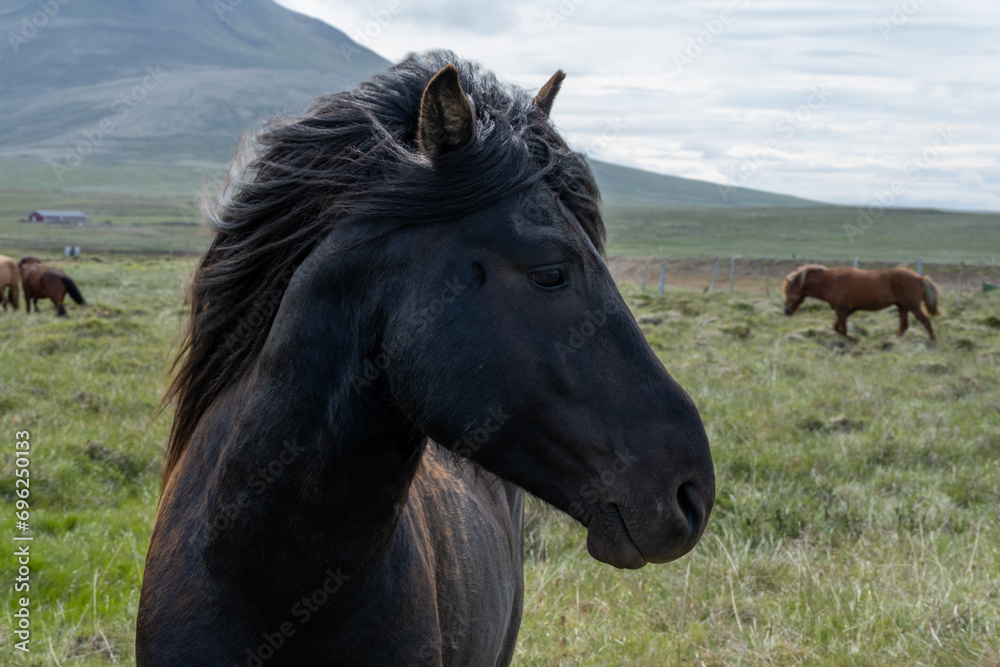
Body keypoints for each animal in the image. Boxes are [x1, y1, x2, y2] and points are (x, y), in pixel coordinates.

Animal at [783, 264, 940, 341]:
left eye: (789, 291)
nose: (786, 311)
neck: (832, 282)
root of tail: (919, 278)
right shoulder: (844, 311)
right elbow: (837, 328)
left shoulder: (842, 310)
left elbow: (842, 330)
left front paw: (853, 338)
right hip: (902, 307)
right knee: (904, 326)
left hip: (913, 306)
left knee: (926, 322)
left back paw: (933, 341)